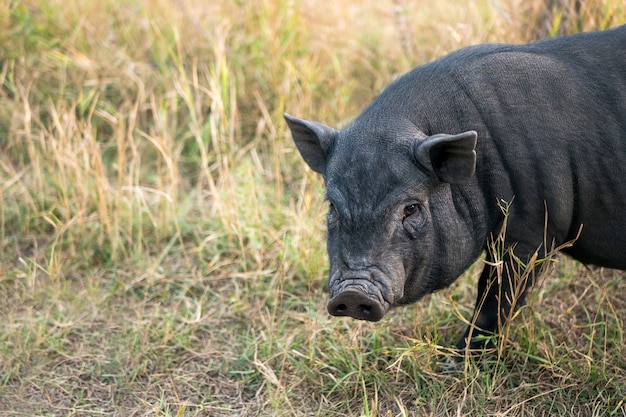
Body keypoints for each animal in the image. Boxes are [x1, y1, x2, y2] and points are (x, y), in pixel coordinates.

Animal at [286, 26, 624, 354]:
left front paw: (456, 360)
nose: (354, 294)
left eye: (411, 208)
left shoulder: (533, 229)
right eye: (332, 207)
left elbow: (495, 294)